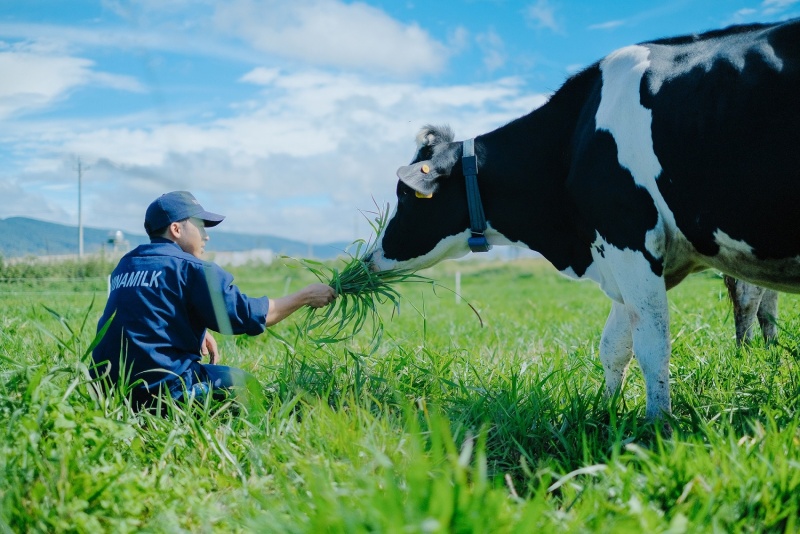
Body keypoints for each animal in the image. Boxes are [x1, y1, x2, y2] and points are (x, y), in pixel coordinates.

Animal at [368, 18, 800, 426]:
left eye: (405, 194)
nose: (368, 261)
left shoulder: (628, 238)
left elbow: (652, 344)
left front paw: (657, 425)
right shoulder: (621, 255)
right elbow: (614, 346)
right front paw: (607, 411)